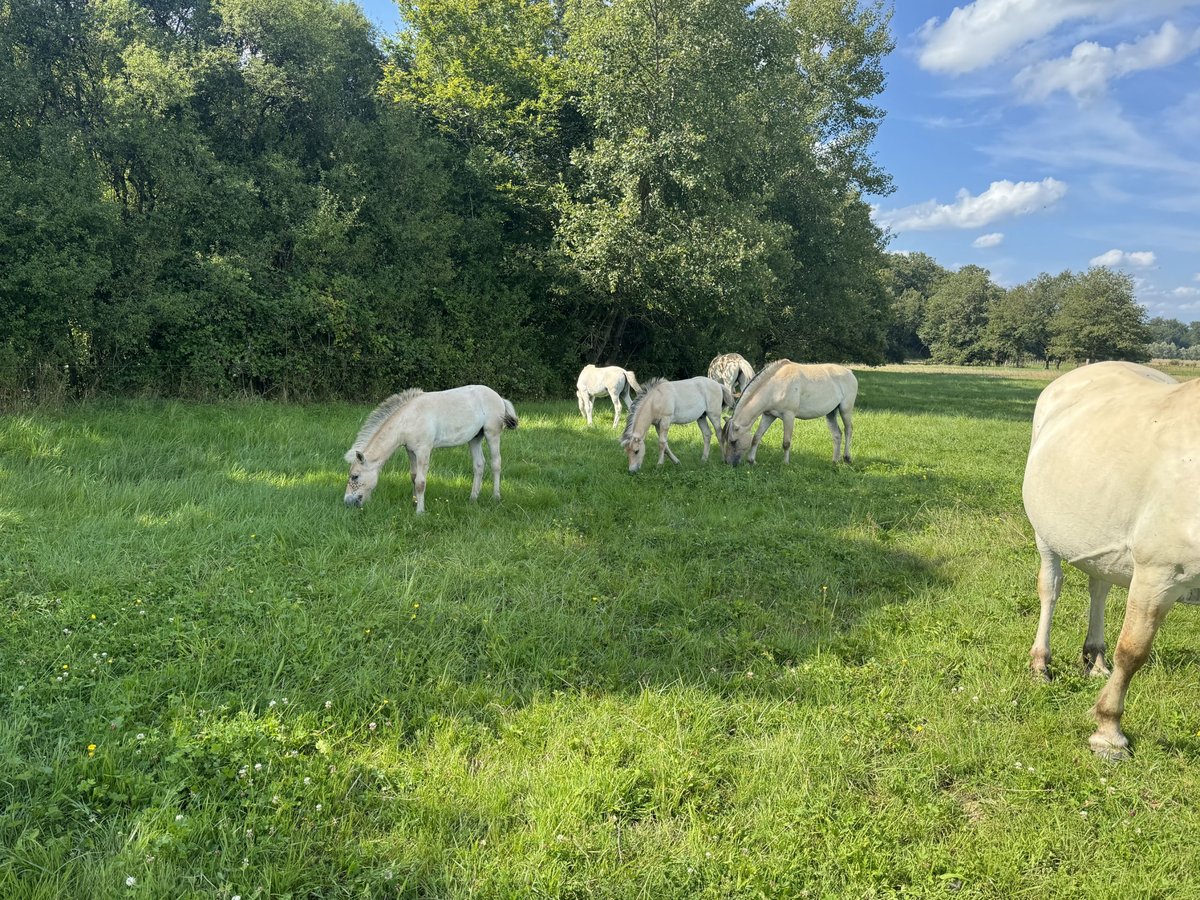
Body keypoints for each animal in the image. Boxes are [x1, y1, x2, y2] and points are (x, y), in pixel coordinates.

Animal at [345, 386, 518, 513]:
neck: (408, 420)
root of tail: (499, 397)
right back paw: (473, 498)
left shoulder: (423, 450)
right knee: (479, 465)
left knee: (496, 464)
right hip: (475, 438)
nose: (347, 502)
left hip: (492, 434)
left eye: (355, 476)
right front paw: (414, 502)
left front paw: (420, 512)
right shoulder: (410, 451)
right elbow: (414, 477)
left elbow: (421, 482)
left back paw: (496, 497)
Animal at [720, 362, 854, 468]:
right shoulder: (768, 416)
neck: (775, 387)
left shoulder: (789, 416)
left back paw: (847, 458)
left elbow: (786, 443)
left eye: (733, 441)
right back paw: (835, 461)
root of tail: (850, 372)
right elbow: (756, 437)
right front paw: (751, 460)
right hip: (831, 413)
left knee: (848, 430)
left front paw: (785, 463)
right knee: (837, 435)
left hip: (845, 410)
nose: (727, 462)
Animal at [1022, 362, 1200, 758]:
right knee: (1050, 589)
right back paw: (1040, 665)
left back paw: (1096, 660)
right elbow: (1133, 651)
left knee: (1098, 589)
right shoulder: (1157, 574)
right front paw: (1108, 733)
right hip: (1045, 534)